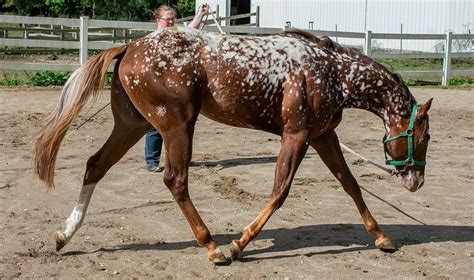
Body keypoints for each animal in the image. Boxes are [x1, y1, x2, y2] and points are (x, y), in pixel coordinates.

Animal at [33, 25, 432, 262]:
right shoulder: (297, 135)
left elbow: (350, 185)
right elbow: (279, 191)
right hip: (177, 125)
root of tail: (129, 47)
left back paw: (64, 235)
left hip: (132, 125)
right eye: (425, 136)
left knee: (95, 165)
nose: (417, 182)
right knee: (175, 180)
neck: (331, 71)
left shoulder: (322, 136)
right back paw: (213, 246)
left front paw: (381, 237)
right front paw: (240, 243)